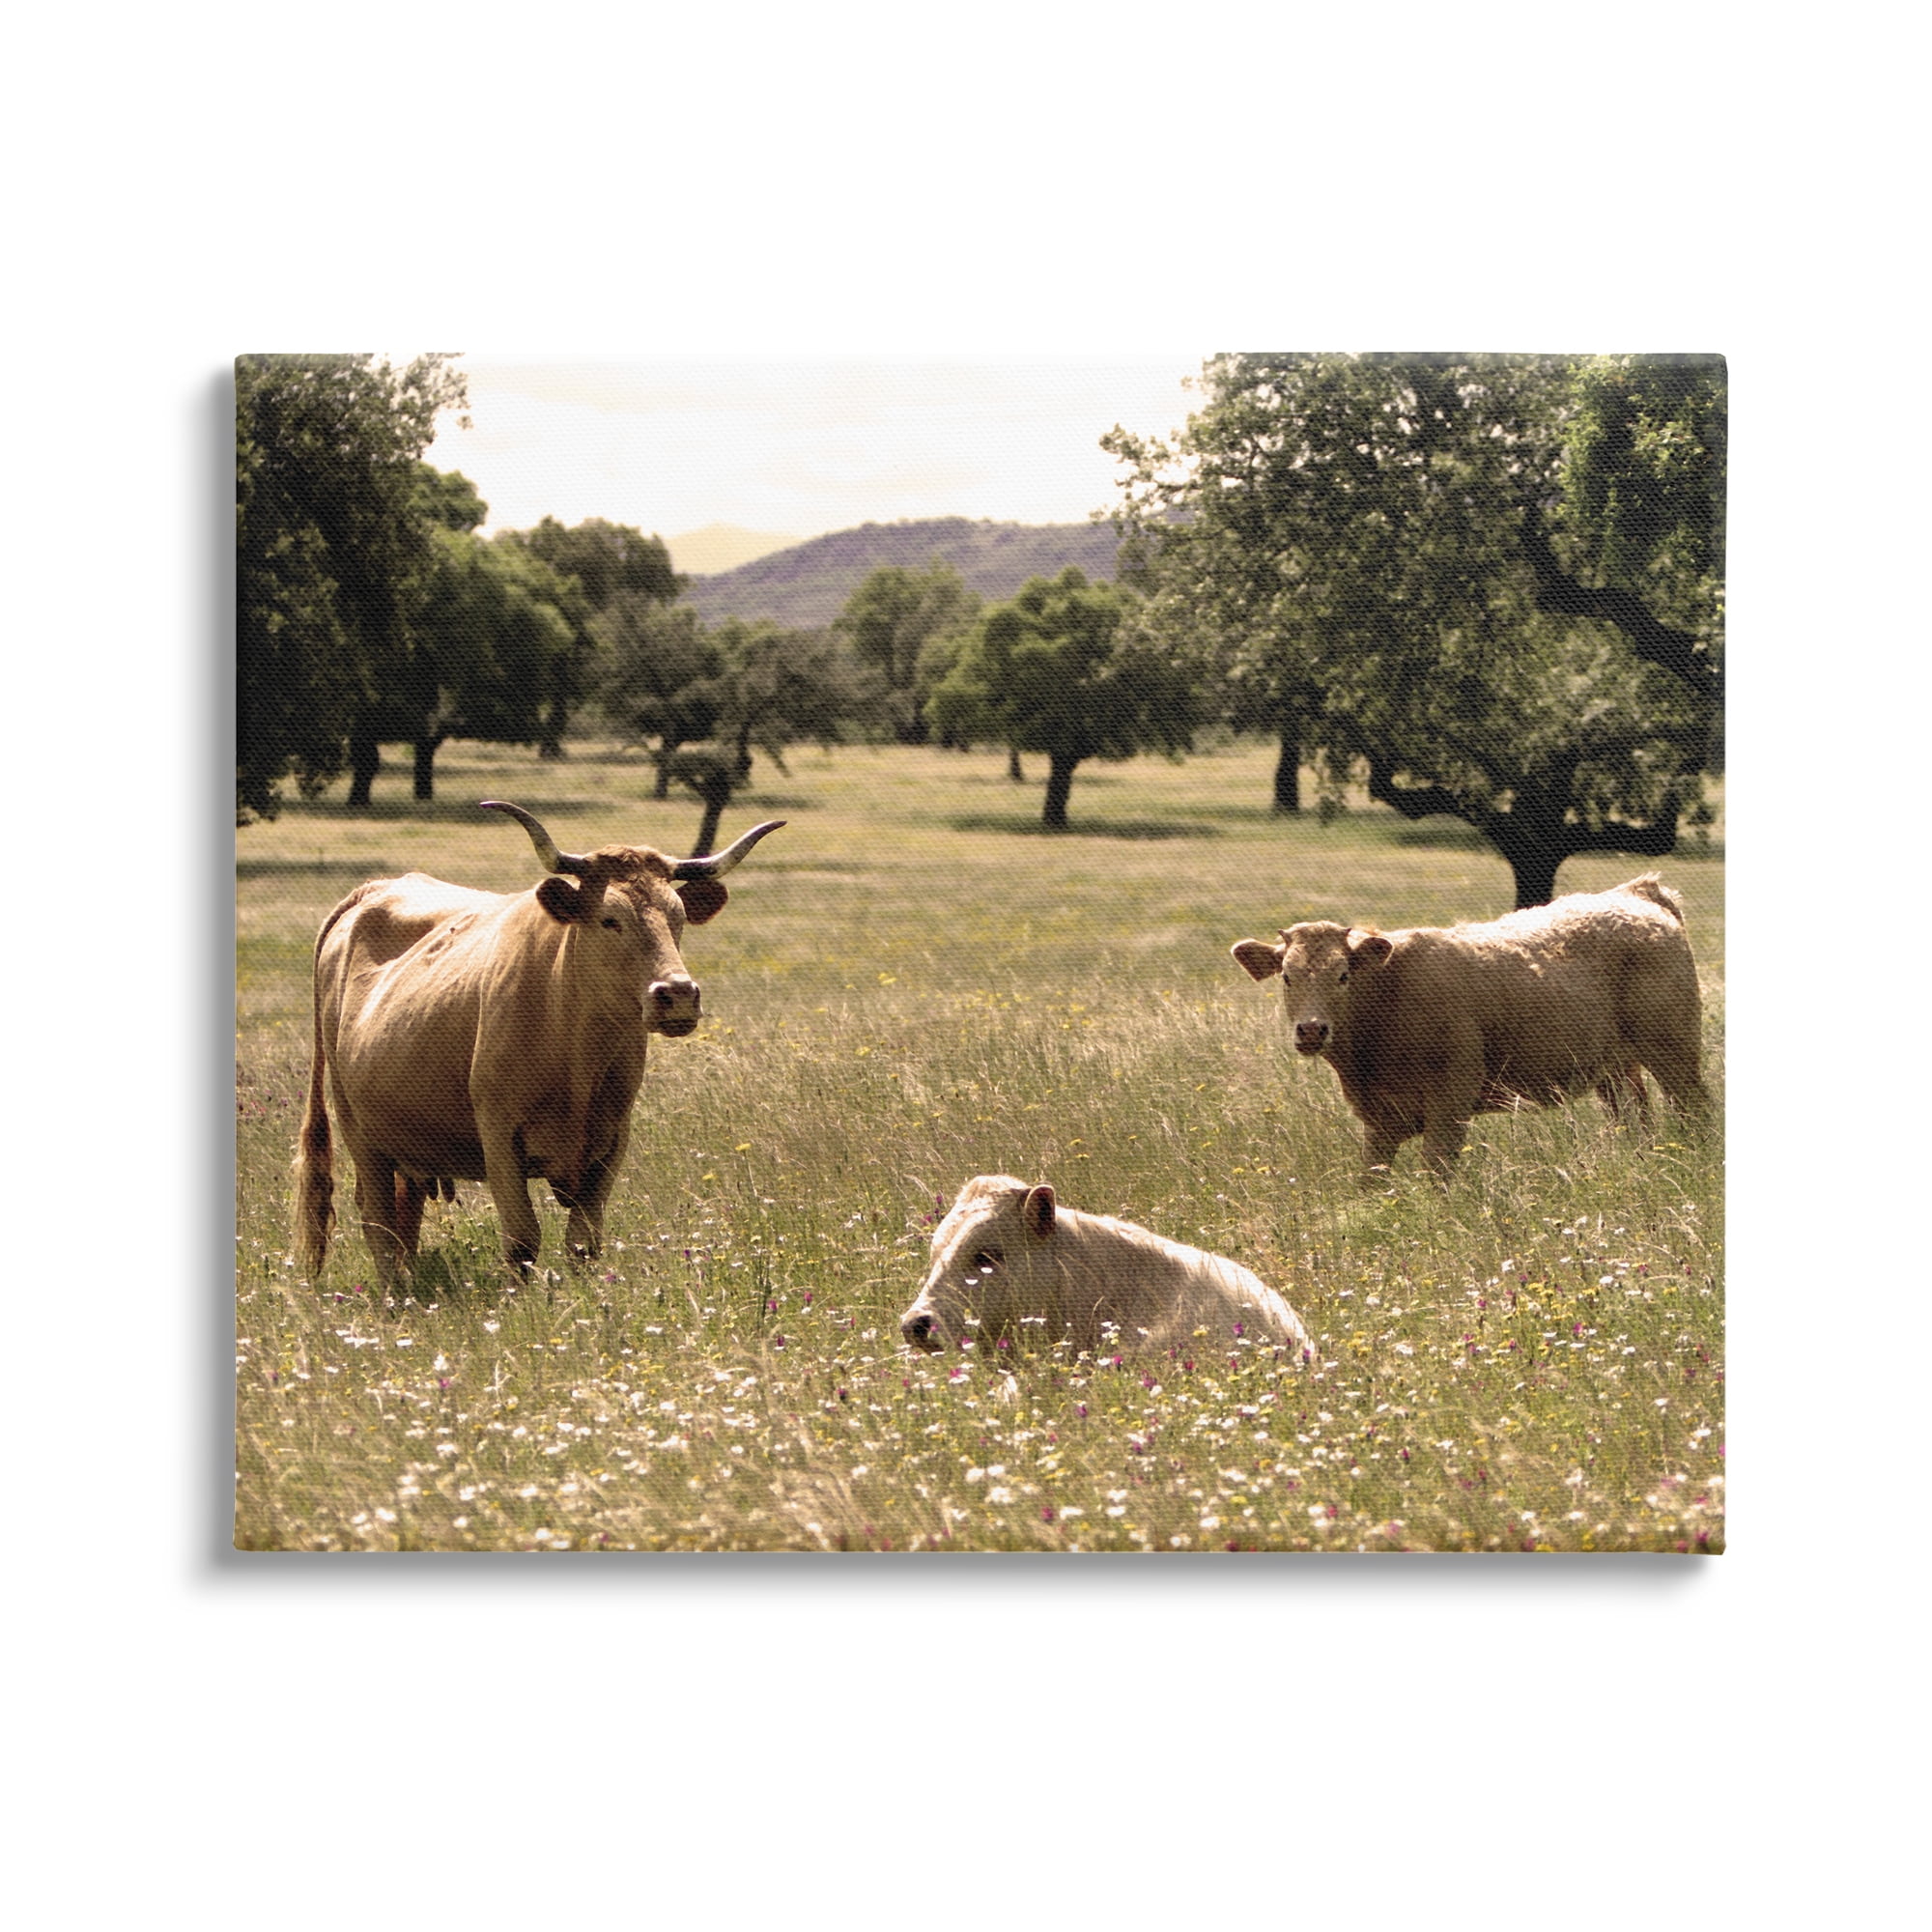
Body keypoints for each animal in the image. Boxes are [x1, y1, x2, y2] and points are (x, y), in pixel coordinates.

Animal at [293, 801, 783, 1285]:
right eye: (610, 919)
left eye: (678, 918)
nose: (678, 994)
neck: (575, 1054)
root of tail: (374, 889)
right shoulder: (499, 1136)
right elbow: (522, 1240)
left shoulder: (612, 1139)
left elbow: (584, 1241)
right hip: (357, 1128)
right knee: (376, 1216)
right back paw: (396, 1293)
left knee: (402, 1215)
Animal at [1230, 872, 1708, 1180]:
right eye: (1287, 976)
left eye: (1344, 975)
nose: (1312, 1030)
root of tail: (1637, 893)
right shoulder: (1379, 1122)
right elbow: (1371, 1181)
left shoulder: (1451, 1101)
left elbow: (1438, 1173)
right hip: (1614, 1070)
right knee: (1635, 1119)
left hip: (1675, 1053)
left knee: (1695, 1110)